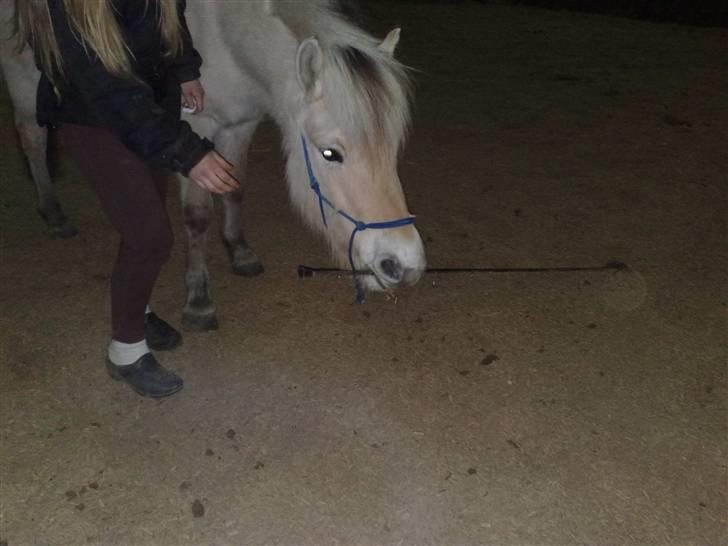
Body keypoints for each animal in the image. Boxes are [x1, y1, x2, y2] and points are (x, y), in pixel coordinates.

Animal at [0, 1, 426, 328]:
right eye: (330, 153)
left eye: (392, 148)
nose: (402, 265)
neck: (225, 36)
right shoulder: (197, 133)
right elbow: (198, 215)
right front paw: (199, 299)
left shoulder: (241, 124)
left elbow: (235, 188)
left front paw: (240, 251)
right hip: (24, 84)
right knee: (33, 139)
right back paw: (53, 212)